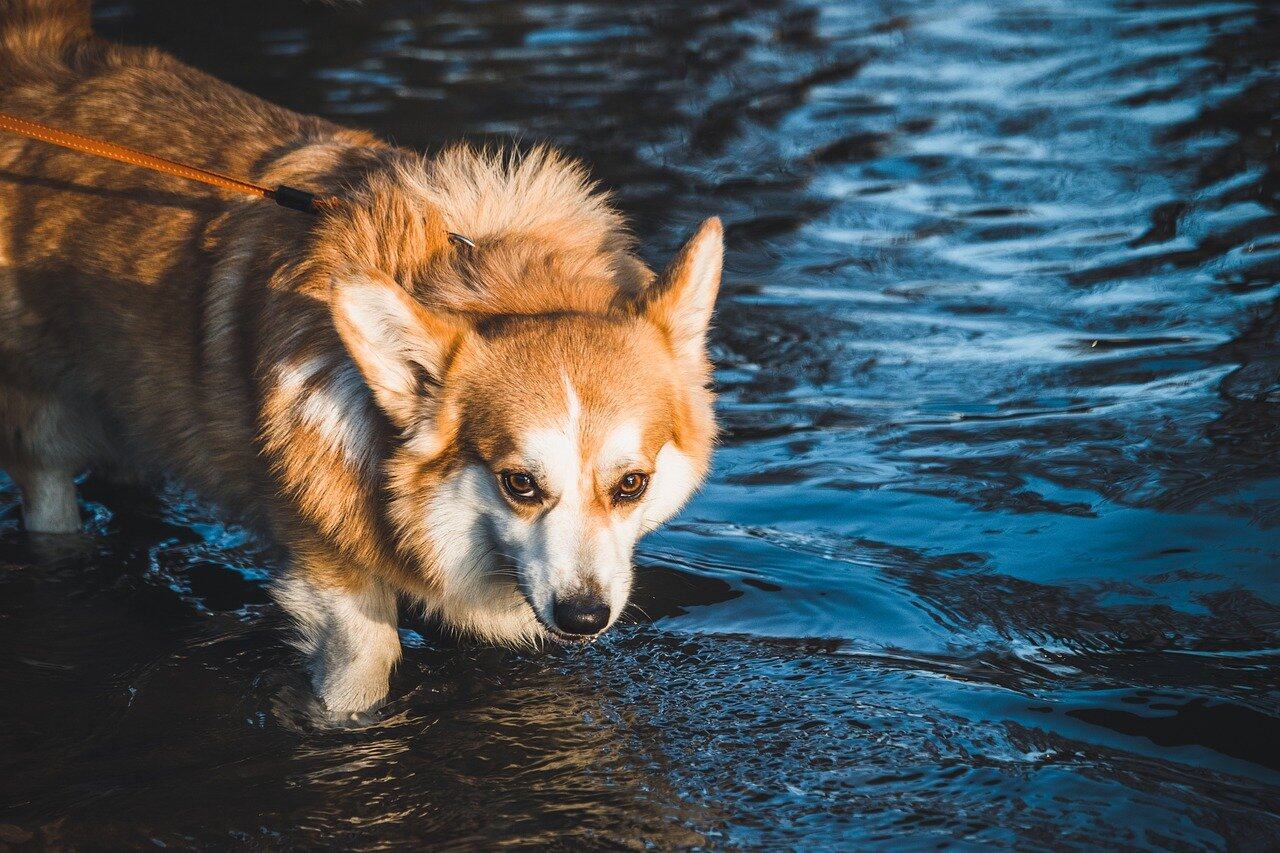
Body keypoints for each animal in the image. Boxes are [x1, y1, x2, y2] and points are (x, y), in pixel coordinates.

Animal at [0, 1, 721, 717]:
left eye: (632, 484)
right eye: (519, 483)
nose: (583, 617)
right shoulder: (332, 578)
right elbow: (365, 666)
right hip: (43, 417)